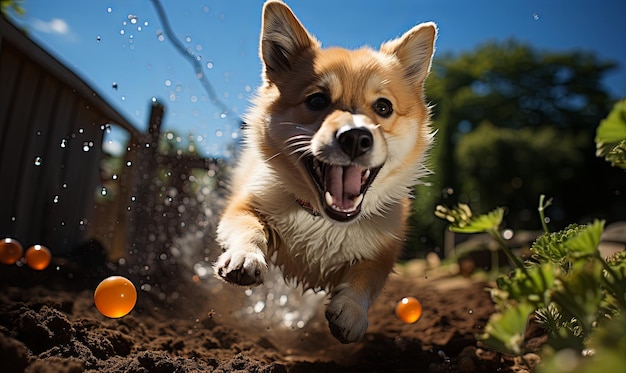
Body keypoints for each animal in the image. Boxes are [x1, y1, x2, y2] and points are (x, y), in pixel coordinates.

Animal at [214, 0, 434, 342]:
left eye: (383, 107)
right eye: (317, 100)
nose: (355, 137)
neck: (324, 222)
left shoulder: (384, 251)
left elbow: (367, 277)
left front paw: (352, 311)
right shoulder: (245, 206)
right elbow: (249, 228)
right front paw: (246, 256)